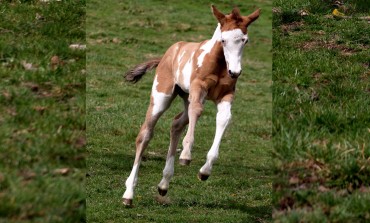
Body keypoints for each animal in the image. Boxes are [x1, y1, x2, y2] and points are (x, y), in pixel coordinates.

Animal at [122, 5, 260, 206]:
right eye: (223, 40)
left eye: (245, 40)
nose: (234, 72)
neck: (218, 64)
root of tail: (166, 55)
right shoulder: (198, 87)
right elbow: (198, 111)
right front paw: (186, 155)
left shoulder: (226, 95)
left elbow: (224, 118)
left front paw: (205, 171)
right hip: (161, 97)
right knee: (145, 134)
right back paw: (128, 194)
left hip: (185, 97)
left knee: (176, 124)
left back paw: (164, 184)